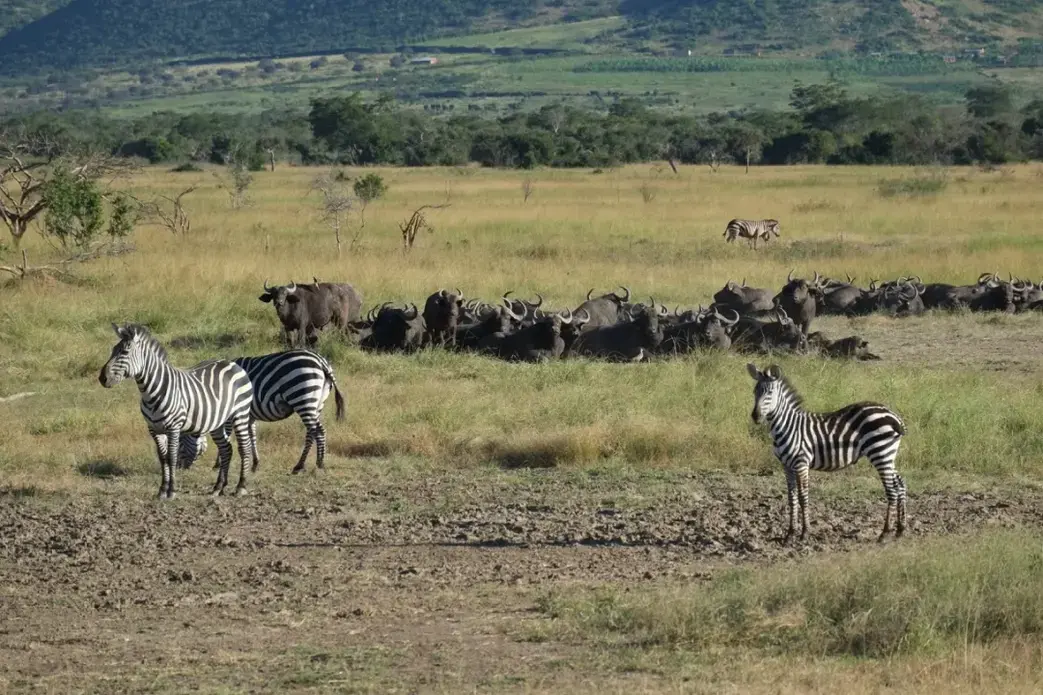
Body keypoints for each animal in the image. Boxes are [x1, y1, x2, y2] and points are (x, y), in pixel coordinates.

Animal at [99, 323, 255, 499]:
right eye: (113, 350)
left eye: (125, 352)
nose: (102, 378)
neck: (151, 391)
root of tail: (233, 363)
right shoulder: (154, 429)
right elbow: (163, 458)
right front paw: (162, 490)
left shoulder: (174, 427)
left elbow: (172, 457)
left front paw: (171, 491)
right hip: (218, 421)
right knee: (226, 449)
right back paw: (218, 487)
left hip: (241, 413)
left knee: (244, 447)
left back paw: (240, 486)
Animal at [178, 350, 346, 474]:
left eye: (179, 441)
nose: (179, 468)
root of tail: (321, 361)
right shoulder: (249, 415)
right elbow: (252, 436)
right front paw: (255, 464)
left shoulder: (229, 413)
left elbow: (227, 436)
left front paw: (218, 464)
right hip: (317, 403)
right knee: (316, 432)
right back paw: (311, 464)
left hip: (303, 398)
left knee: (315, 431)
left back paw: (306, 465)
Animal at [746, 363, 907, 544]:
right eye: (755, 391)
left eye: (770, 392)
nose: (755, 416)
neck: (788, 426)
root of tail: (893, 415)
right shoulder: (786, 466)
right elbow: (791, 498)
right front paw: (790, 534)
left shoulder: (801, 463)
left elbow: (803, 496)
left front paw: (805, 533)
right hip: (888, 455)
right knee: (900, 484)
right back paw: (900, 530)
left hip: (880, 453)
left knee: (891, 490)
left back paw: (884, 533)